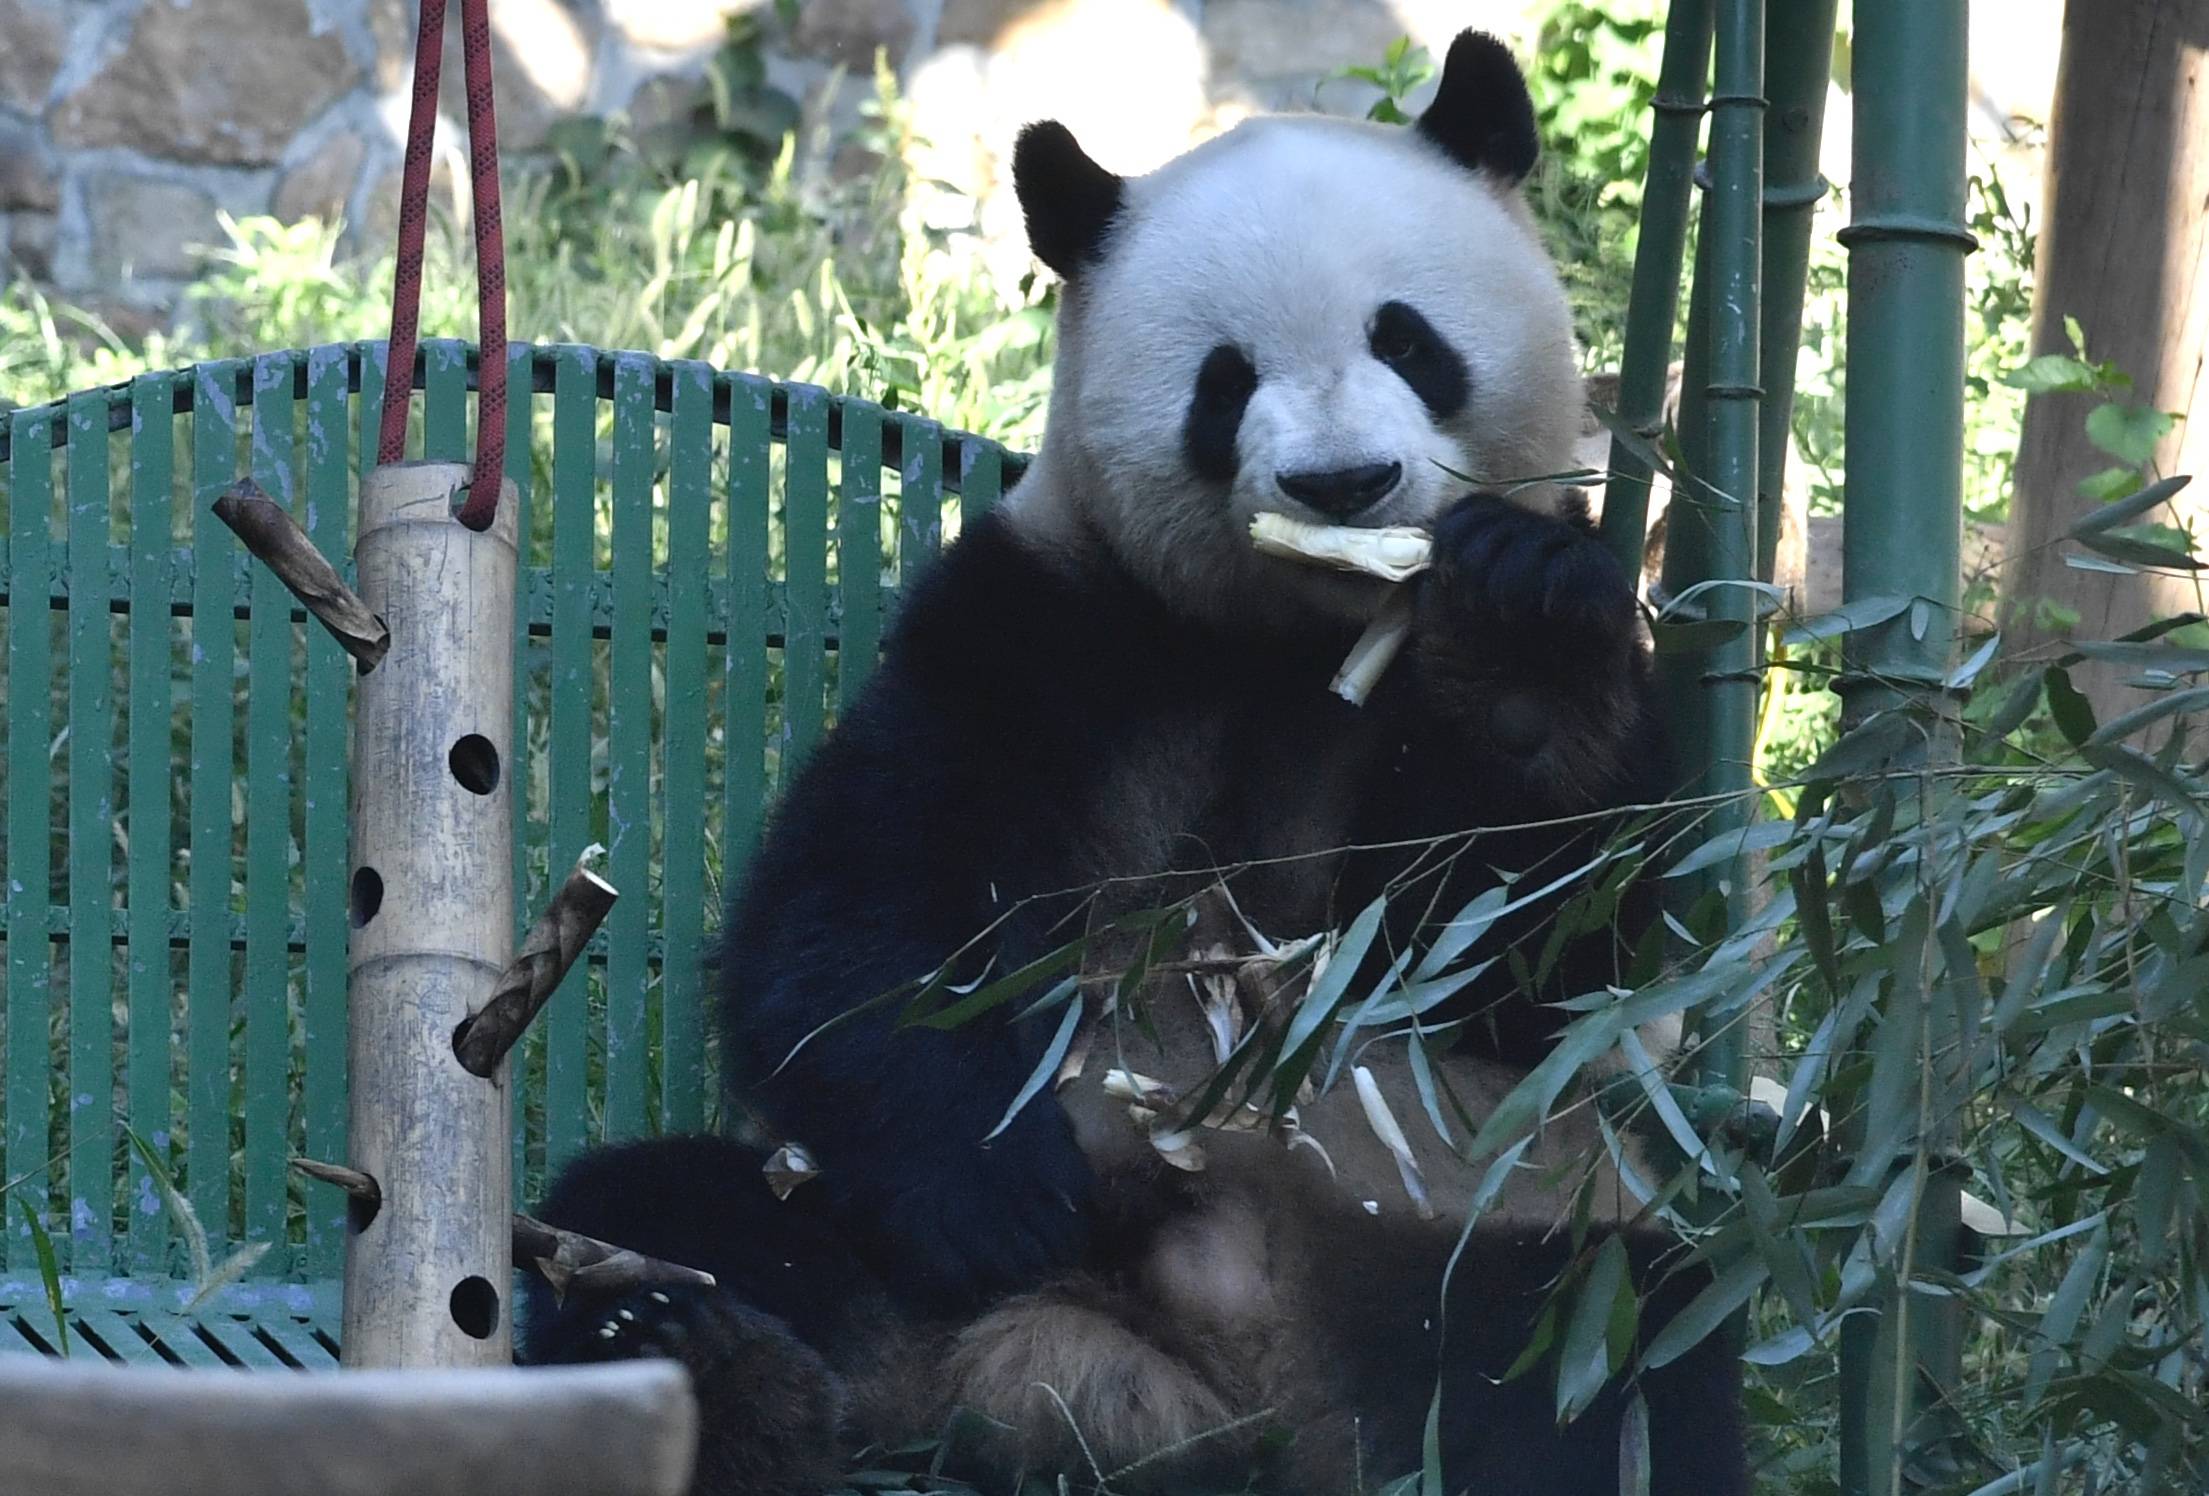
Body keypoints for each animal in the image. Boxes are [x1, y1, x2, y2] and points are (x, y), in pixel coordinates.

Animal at [525, 26, 1749, 1493]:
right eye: (1225, 381)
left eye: (1407, 339)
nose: (1341, 484)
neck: (1300, 637)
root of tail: (1206, 1373)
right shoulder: (1055, 629)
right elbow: (858, 918)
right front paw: (993, 1189)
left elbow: (1531, 957)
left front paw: (1520, 646)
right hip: (864, 1235)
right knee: (674, 1215)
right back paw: (709, 1362)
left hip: (1523, 1225)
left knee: (1597, 1372)